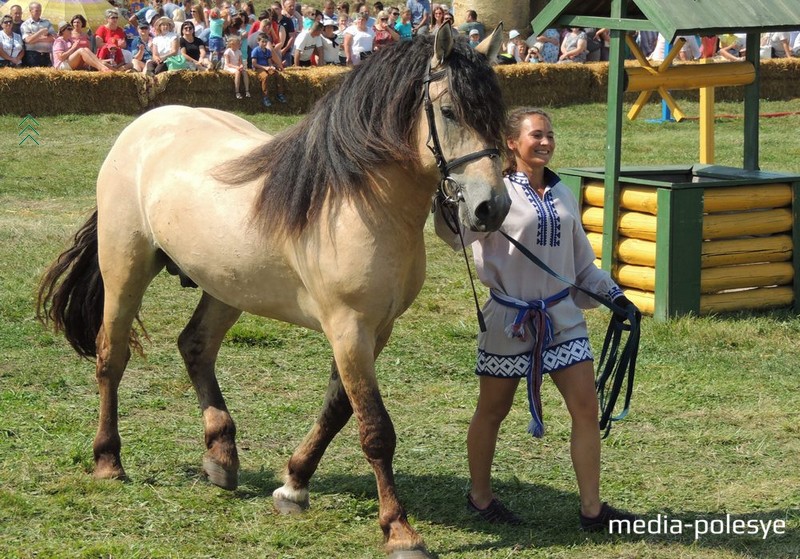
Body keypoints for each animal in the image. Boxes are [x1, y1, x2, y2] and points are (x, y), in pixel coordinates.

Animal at [36, 24, 506, 556]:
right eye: (449, 111)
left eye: (497, 113)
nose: (492, 208)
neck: (356, 199)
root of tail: (144, 127)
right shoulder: (349, 328)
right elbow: (374, 430)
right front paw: (399, 529)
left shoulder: (374, 331)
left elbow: (337, 409)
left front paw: (294, 485)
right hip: (126, 268)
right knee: (111, 357)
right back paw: (108, 460)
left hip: (225, 286)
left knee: (195, 346)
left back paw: (221, 454)